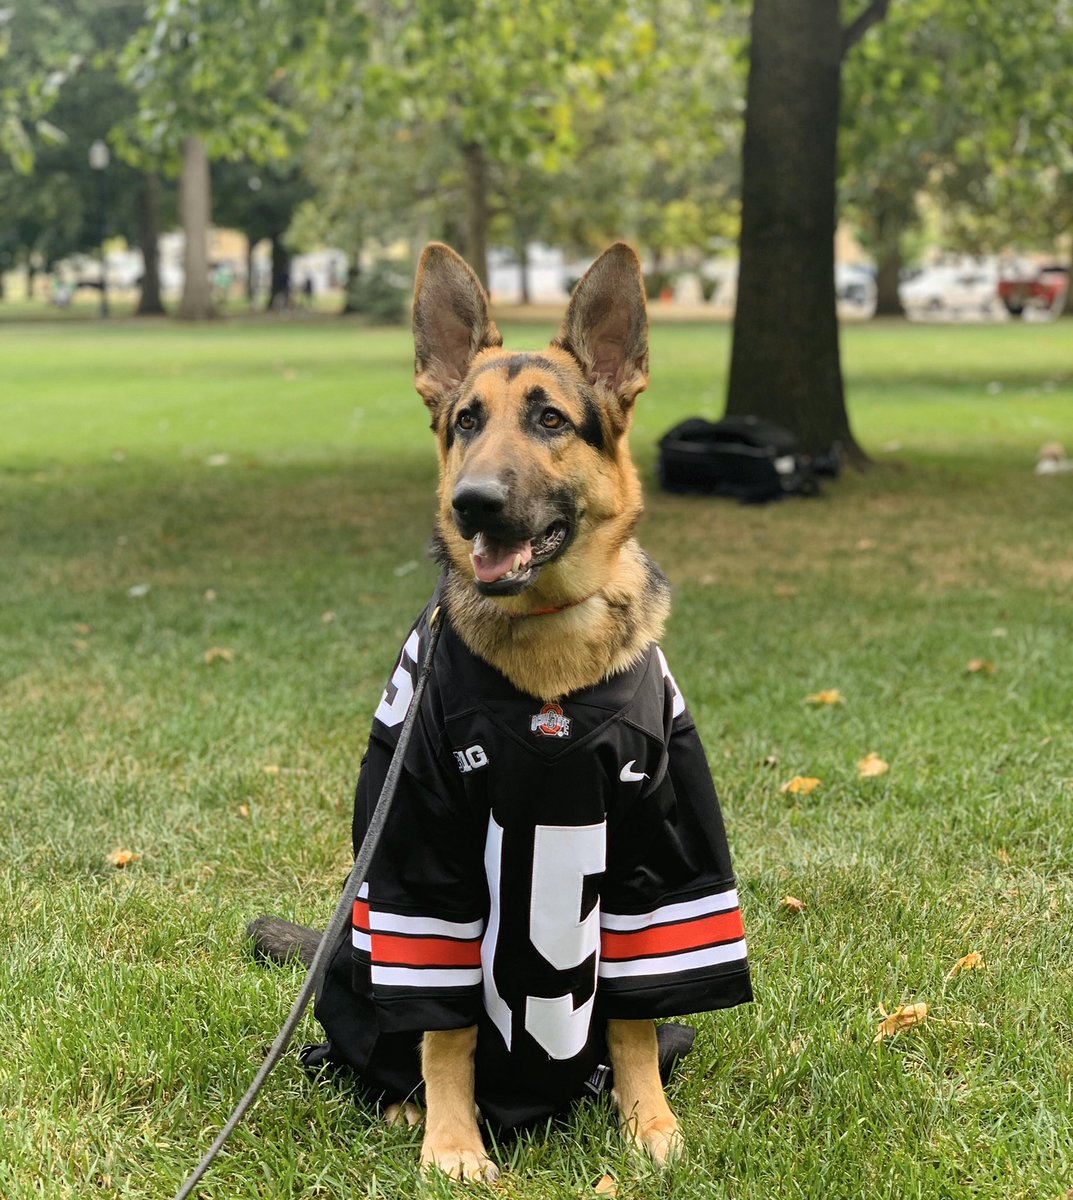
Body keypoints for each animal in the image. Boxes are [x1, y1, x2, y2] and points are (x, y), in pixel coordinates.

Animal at [255, 243, 753, 1180]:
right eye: (465, 422)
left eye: (551, 420)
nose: (473, 501)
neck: (547, 638)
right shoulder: (421, 854)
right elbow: (445, 1032)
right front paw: (452, 1141)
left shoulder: (657, 858)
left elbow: (635, 1021)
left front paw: (650, 1126)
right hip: (354, 957)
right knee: (352, 1053)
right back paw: (405, 1105)